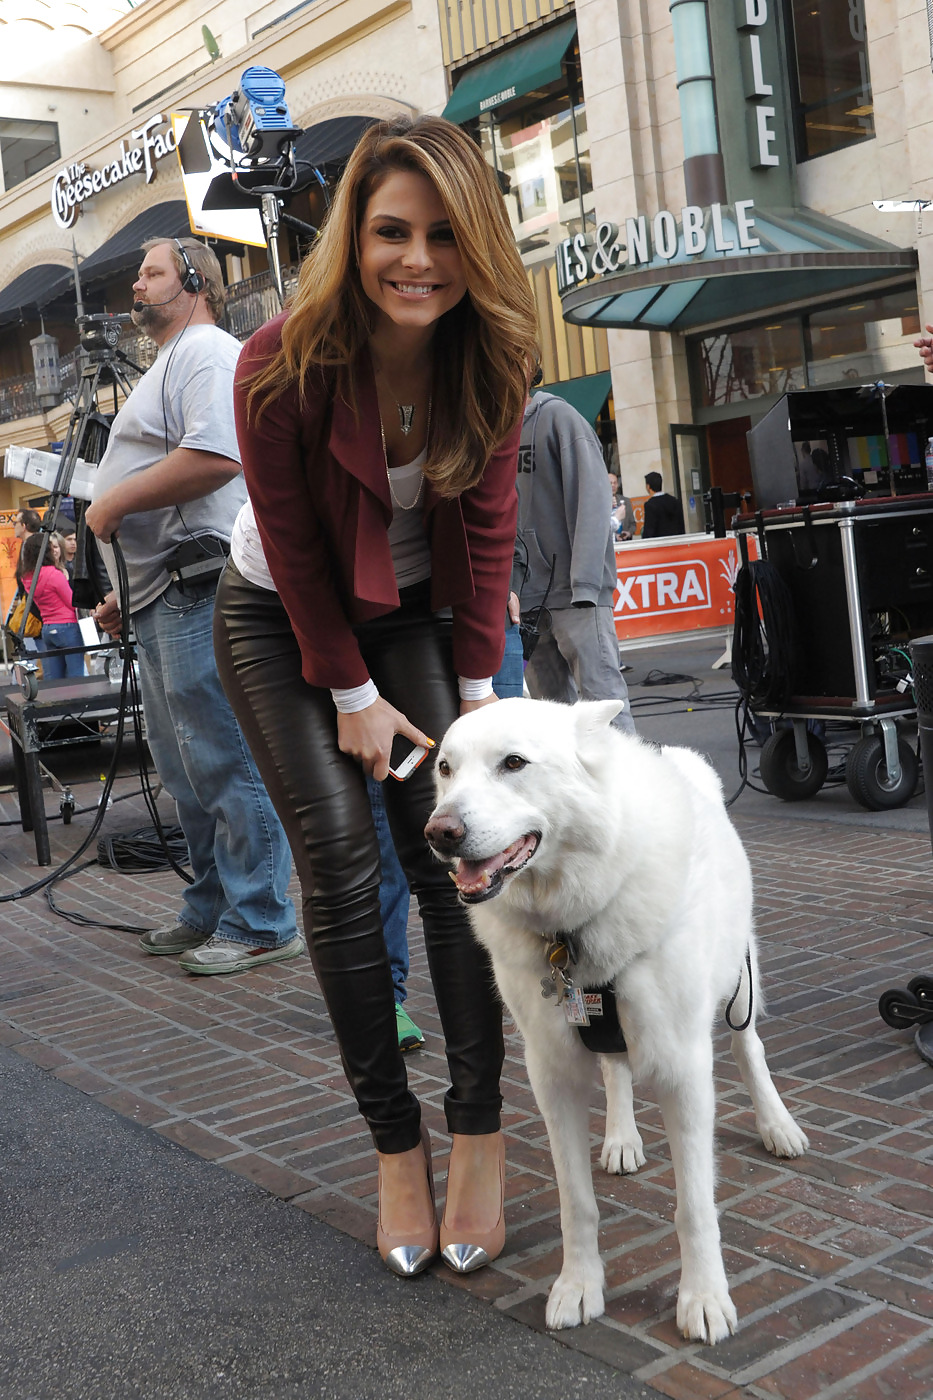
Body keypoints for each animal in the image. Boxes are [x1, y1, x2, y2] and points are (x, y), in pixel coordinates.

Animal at [425, 700, 801, 1344]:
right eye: (445, 768)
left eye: (514, 763)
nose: (438, 833)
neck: (570, 928)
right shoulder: (552, 1078)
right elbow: (577, 1202)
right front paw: (579, 1286)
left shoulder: (684, 1073)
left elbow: (694, 1205)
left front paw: (704, 1298)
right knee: (614, 1069)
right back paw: (623, 1137)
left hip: (738, 986)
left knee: (748, 1051)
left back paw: (777, 1125)